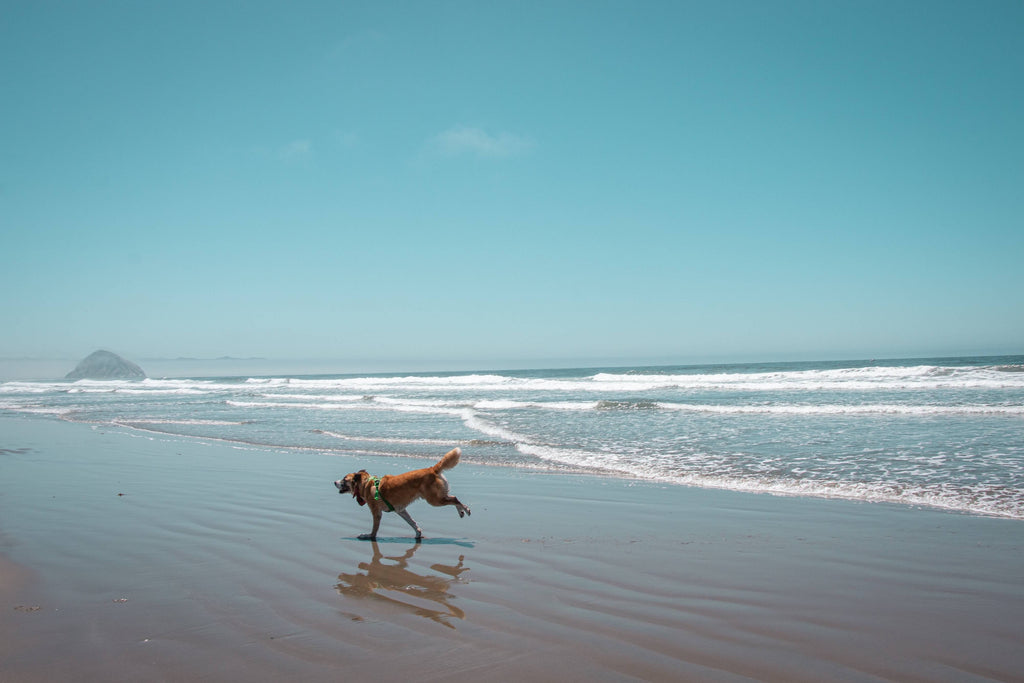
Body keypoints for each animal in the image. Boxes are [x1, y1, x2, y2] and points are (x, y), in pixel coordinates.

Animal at [335, 446, 471, 540]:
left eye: (344, 479)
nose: (334, 482)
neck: (366, 483)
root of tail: (432, 469)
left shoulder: (376, 512)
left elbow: (375, 528)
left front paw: (370, 535)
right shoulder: (400, 510)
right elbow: (412, 522)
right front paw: (418, 533)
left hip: (434, 500)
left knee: (455, 499)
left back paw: (465, 509)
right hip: (437, 497)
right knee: (453, 498)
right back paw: (461, 511)